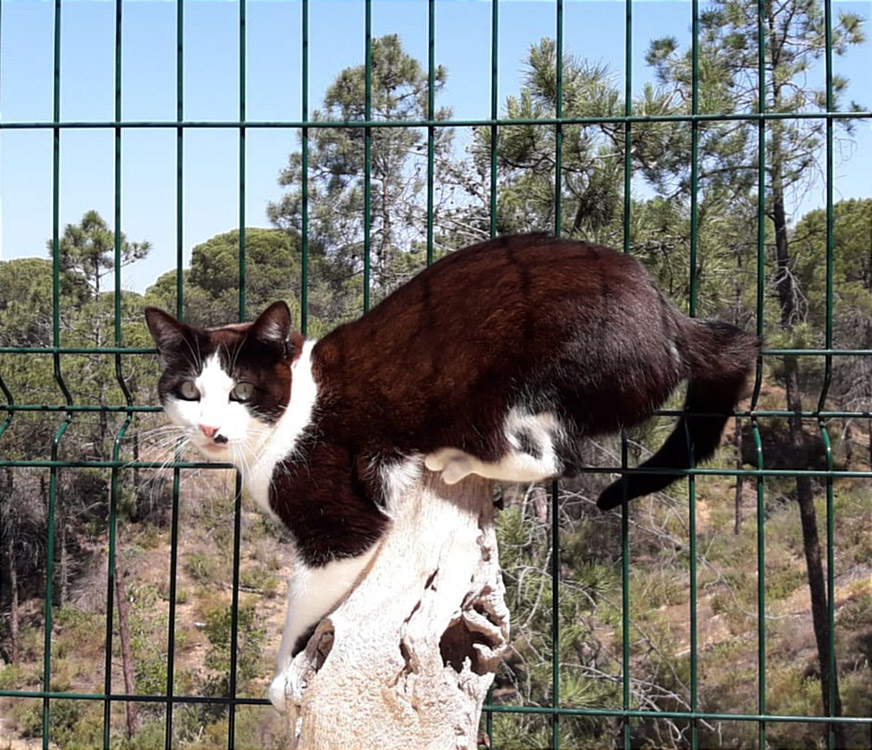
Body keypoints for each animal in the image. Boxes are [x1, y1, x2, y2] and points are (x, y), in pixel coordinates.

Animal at [145, 232, 760, 712]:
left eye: (242, 392)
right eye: (190, 391)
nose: (210, 430)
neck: (295, 410)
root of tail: (671, 317)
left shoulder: (342, 526)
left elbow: (305, 599)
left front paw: (280, 680)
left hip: (521, 380)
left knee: (552, 458)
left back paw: (454, 459)